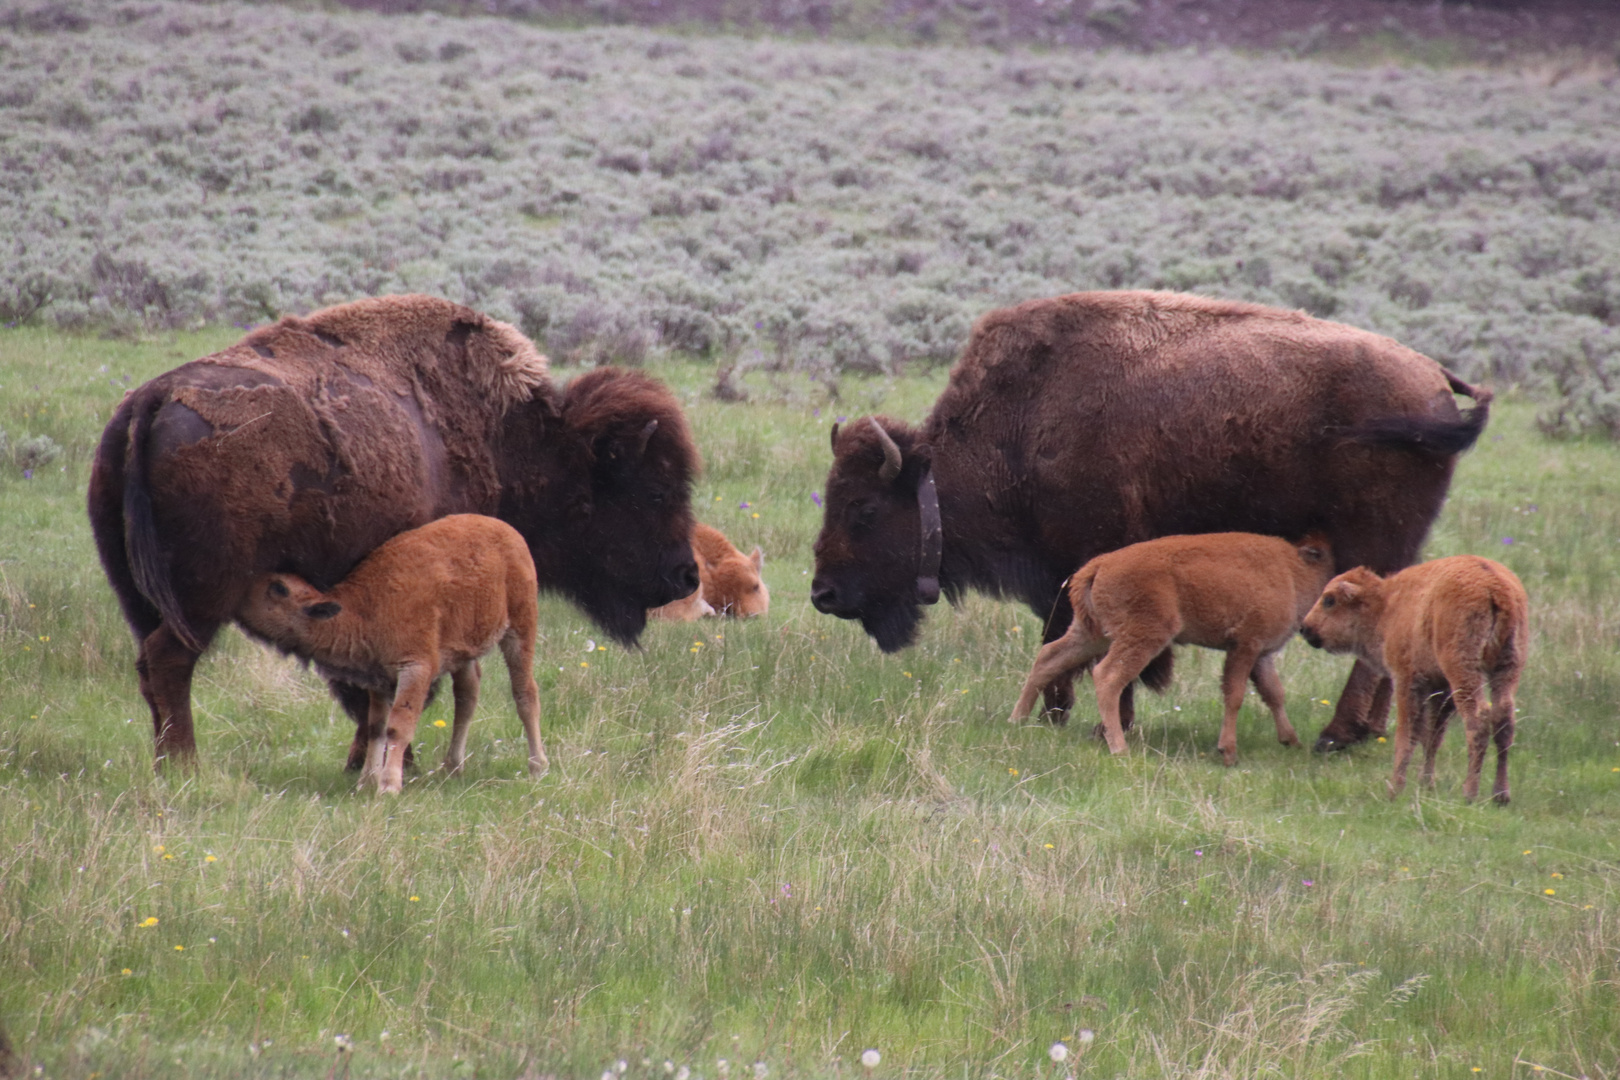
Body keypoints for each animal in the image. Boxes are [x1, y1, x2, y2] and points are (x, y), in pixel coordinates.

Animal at [236, 514, 547, 793]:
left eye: (278, 588)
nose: (241, 591)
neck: (365, 609)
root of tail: (508, 531)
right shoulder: (380, 679)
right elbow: (376, 726)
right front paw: (366, 782)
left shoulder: (415, 669)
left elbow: (398, 726)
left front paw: (388, 786)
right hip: (464, 651)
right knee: (467, 696)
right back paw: (452, 767)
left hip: (520, 628)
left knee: (525, 693)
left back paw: (537, 767)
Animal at [1004, 537, 1334, 764]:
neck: (1292, 569)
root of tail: (1098, 566)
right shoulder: (1245, 645)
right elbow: (1236, 694)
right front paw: (1228, 752)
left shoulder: (1261, 654)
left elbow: (1274, 693)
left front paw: (1291, 741)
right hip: (1143, 636)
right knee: (1107, 676)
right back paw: (1120, 748)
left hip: (1091, 634)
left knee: (1049, 657)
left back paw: (1017, 719)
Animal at [1296, 557, 1522, 803]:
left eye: (1329, 600)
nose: (1305, 628)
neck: (1387, 607)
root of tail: (1495, 587)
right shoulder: (1440, 688)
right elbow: (1432, 736)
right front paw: (1426, 785)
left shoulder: (1407, 681)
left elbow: (1407, 735)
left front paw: (1395, 790)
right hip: (1506, 668)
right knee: (1504, 719)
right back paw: (1500, 796)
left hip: (1463, 671)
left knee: (1477, 719)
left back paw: (1469, 794)